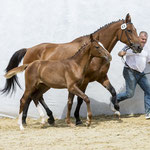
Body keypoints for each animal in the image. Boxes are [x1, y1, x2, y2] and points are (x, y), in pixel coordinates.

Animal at [1, 14, 142, 125]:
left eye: (135, 30)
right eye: (129, 30)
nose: (139, 47)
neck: (92, 56)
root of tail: (29, 49)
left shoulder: (101, 77)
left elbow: (112, 91)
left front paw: (116, 109)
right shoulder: (84, 81)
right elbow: (80, 99)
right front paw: (79, 119)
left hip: (44, 83)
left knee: (36, 96)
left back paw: (47, 118)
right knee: (32, 96)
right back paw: (27, 119)